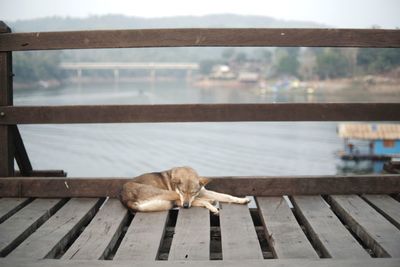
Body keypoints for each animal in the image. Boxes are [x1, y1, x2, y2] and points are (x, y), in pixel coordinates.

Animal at [119, 168, 250, 216]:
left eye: (192, 192)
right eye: (182, 191)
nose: (186, 206)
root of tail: (125, 198)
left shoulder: (201, 192)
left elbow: (227, 196)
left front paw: (242, 200)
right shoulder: (180, 198)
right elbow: (201, 201)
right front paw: (212, 207)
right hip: (170, 195)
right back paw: (211, 203)